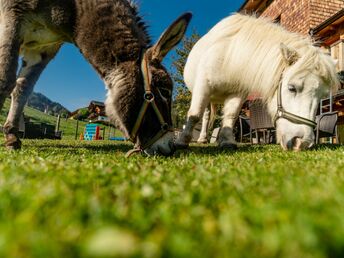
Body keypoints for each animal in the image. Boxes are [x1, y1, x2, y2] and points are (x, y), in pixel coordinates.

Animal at [176, 13, 340, 151]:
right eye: (292, 88)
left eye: (320, 97)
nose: (302, 143)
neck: (229, 55)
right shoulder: (203, 86)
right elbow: (195, 114)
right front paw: (182, 141)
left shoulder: (238, 93)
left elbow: (230, 116)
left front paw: (227, 141)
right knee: (204, 115)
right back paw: (202, 139)